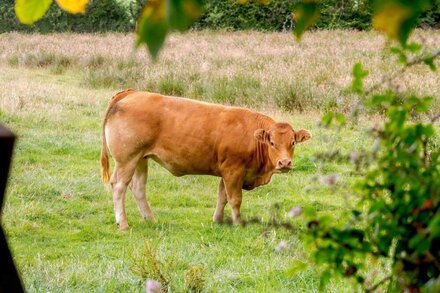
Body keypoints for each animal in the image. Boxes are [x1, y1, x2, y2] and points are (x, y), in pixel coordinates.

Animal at [101, 88, 312, 229]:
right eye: (272, 143)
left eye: (293, 142)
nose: (285, 163)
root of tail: (132, 92)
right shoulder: (233, 170)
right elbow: (235, 199)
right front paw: (238, 222)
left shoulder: (227, 172)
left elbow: (222, 196)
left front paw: (217, 220)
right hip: (127, 160)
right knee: (119, 186)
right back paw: (123, 223)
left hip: (140, 159)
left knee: (138, 188)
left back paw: (150, 219)